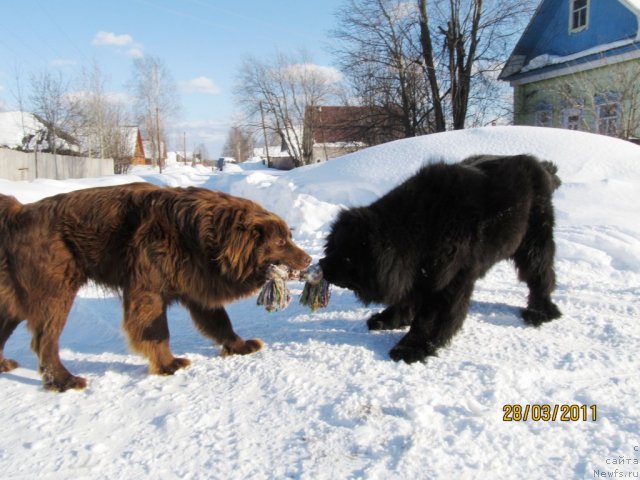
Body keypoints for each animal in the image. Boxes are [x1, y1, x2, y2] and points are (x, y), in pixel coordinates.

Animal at [0, 183, 310, 390]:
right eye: (280, 241)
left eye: (289, 237)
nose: (308, 259)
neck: (200, 236)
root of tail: (19, 212)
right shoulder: (147, 292)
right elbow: (157, 332)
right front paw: (167, 364)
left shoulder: (196, 287)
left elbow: (221, 322)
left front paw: (239, 345)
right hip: (56, 292)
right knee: (45, 341)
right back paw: (64, 380)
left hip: (16, 299)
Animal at [320, 155, 560, 364]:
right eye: (333, 247)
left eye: (347, 257)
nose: (322, 265)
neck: (415, 230)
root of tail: (541, 165)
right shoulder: (418, 273)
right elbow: (406, 300)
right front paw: (389, 319)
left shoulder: (448, 280)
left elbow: (431, 319)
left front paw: (411, 347)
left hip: (533, 242)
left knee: (540, 274)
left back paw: (539, 311)